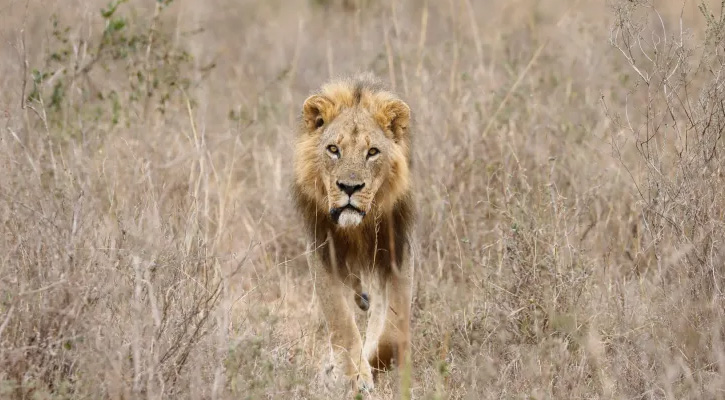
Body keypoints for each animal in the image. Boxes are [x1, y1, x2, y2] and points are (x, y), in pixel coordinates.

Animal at [292, 72, 416, 394]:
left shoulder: (396, 250)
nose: (349, 187)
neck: (357, 227)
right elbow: (341, 322)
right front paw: (352, 376)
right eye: (333, 149)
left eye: (372, 152)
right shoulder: (322, 251)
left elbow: (392, 331)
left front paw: (371, 365)